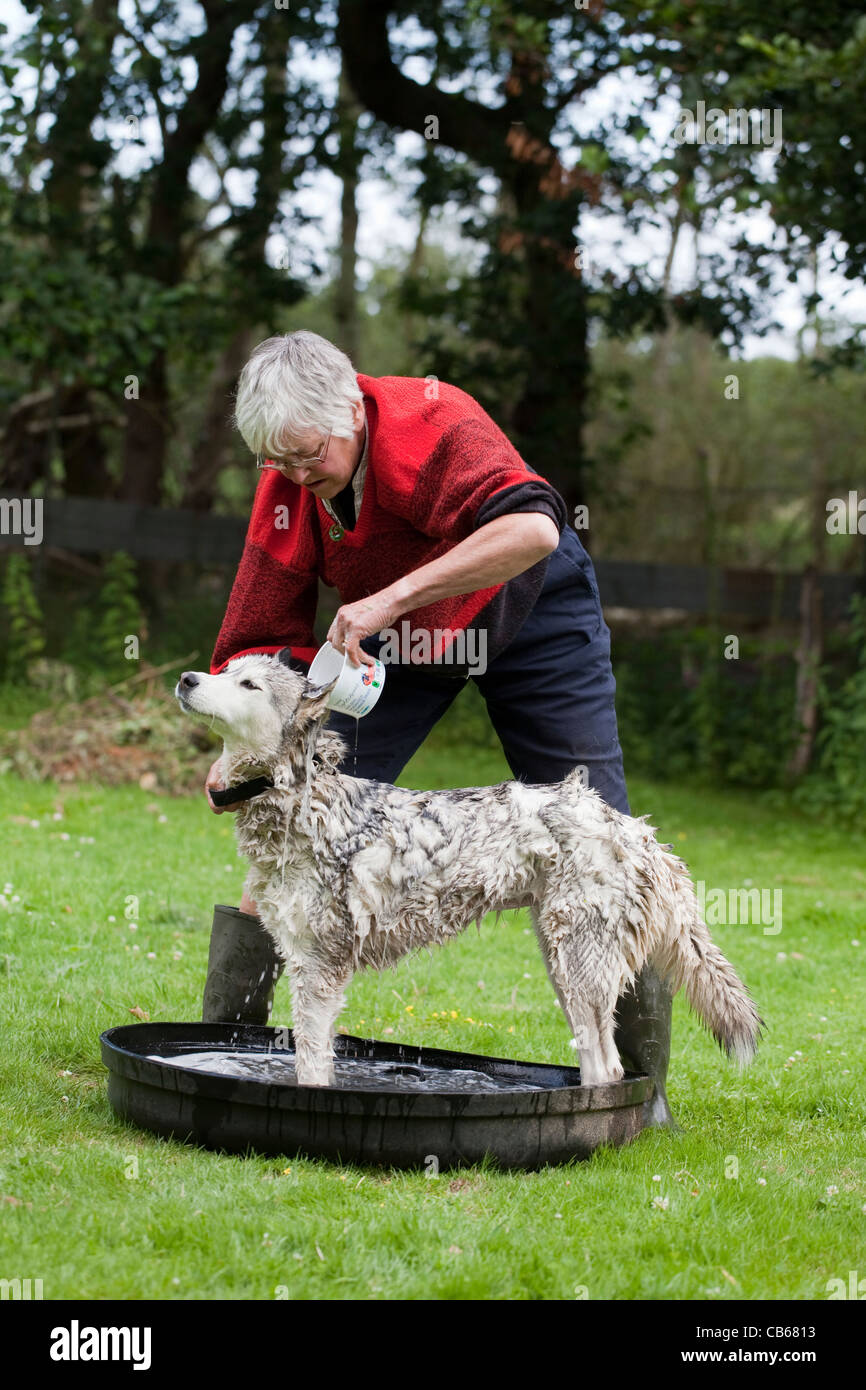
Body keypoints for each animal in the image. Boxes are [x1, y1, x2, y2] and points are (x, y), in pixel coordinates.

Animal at [174, 656, 756, 1089]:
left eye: (247, 684)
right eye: (225, 669)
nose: (187, 679)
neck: (298, 797)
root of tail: (638, 831)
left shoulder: (319, 966)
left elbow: (311, 1067)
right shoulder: (297, 954)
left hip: (579, 964)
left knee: (611, 1069)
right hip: (563, 964)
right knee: (598, 1061)